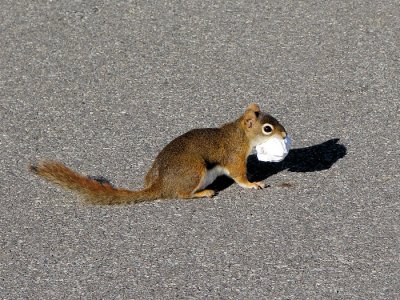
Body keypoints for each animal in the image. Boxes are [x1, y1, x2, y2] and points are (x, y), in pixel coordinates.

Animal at [30, 102, 288, 204]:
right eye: (267, 128)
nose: (285, 135)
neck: (240, 135)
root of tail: (160, 184)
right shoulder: (234, 157)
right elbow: (239, 176)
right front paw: (254, 184)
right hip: (194, 170)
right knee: (181, 195)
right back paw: (202, 193)